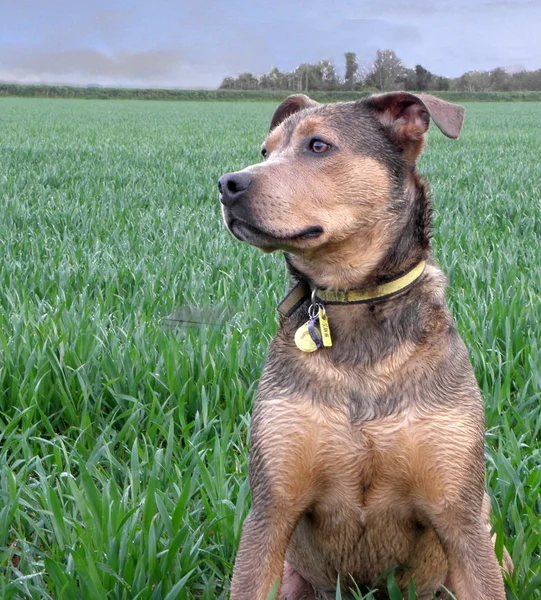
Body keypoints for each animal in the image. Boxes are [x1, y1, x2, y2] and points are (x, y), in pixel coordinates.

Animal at [216, 91, 510, 596]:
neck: (355, 304)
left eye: (318, 145)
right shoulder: (271, 509)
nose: (226, 184)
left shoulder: (461, 517)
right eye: (265, 151)